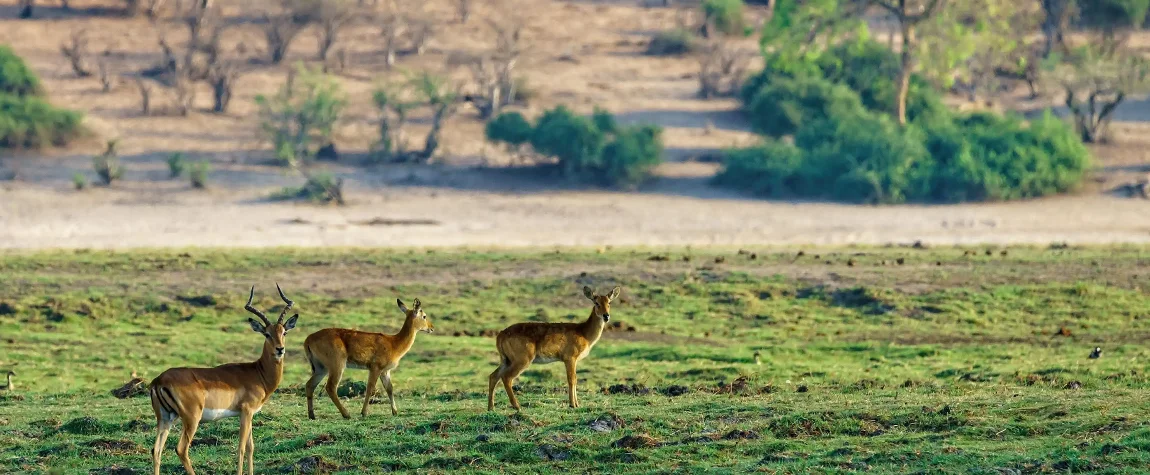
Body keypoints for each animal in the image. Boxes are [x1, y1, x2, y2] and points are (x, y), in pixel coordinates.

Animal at [148, 282, 299, 473]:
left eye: (284, 332)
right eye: (267, 334)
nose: (280, 349)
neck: (258, 373)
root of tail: (159, 380)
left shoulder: (249, 414)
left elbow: (250, 447)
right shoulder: (246, 412)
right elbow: (241, 447)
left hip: (165, 418)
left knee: (156, 450)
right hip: (191, 419)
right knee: (181, 449)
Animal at [303, 296, 432, 418]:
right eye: (424, 316)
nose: (431, 328)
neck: (394, 343)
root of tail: (308, 338)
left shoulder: (385, 371)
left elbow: (389, 388)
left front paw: (395, 412)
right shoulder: (375, 368)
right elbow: (370, 388)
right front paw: (364, 412)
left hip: (321, 368)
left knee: (310, 385)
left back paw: (312, 415)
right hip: (337, 366)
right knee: (330, 387)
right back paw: (346, 414)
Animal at [489, 285, 625, 411]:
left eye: (609, 302)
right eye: (596, 302)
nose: (606, 316)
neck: (584, 332)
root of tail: (501, 334)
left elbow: (575, 379)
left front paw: (576, 404)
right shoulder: (570, 358)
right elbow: (572, 379)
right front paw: (573, 404)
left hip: (506, 360)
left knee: (493, 376)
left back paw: (491, 407)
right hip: (522, 360)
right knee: (506, 377)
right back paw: (517, 406)